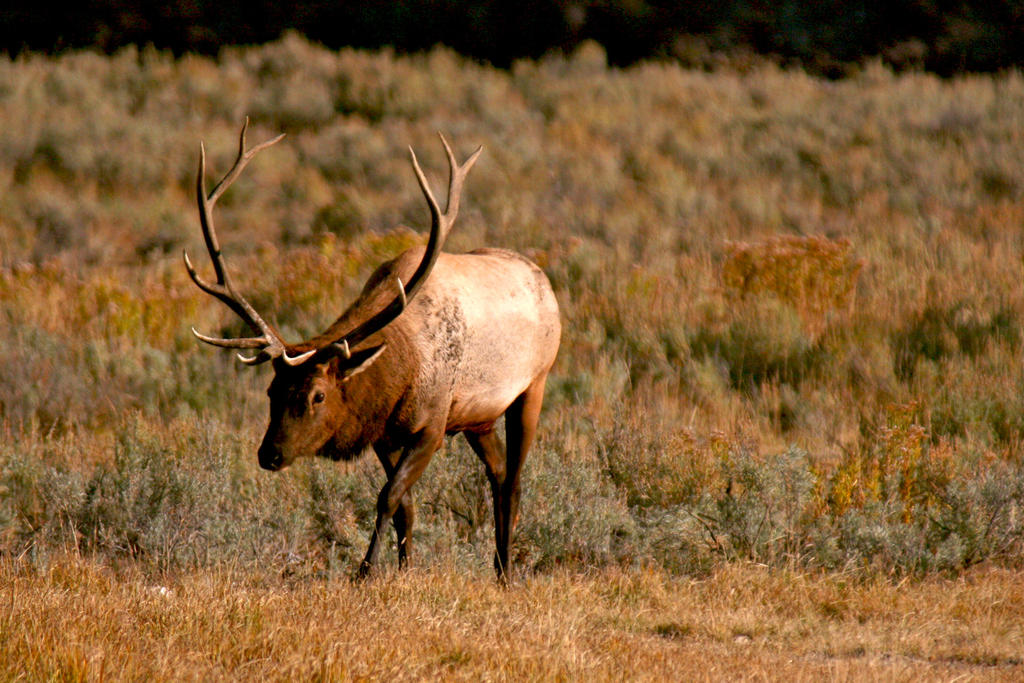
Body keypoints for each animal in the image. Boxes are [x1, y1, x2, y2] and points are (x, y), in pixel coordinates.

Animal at [188, 121, 565, 577]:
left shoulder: (432, 425)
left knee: (513, 481)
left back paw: (507, 572)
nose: (270, 454)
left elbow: (387, 497)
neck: (399, 369)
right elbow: (405, 507)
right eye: (271, 391)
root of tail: (545, 282)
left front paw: (365, 571)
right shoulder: (386, 435)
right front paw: (403, 570)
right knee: (498, 475)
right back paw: (499, 568)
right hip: (480, 419)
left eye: (318, 395)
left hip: (533, 386)